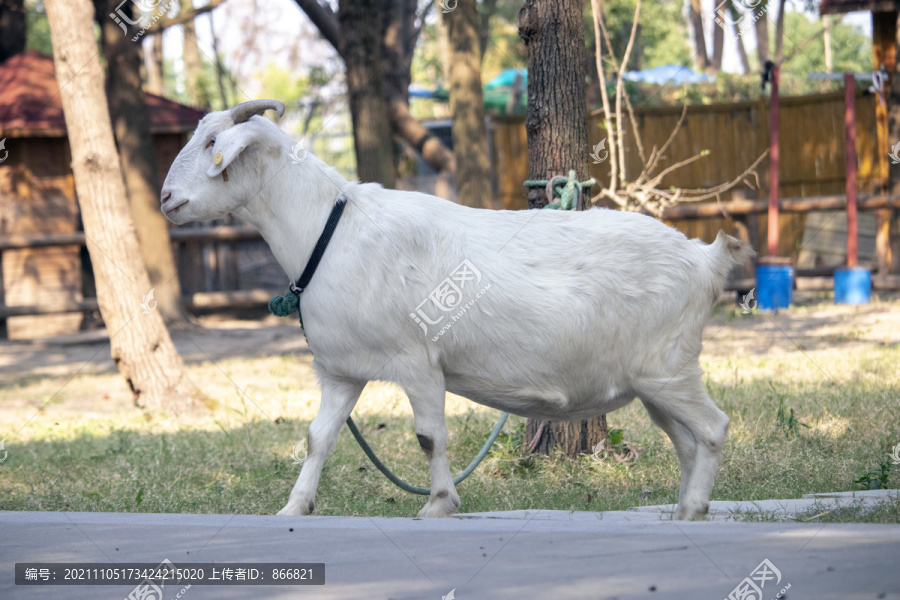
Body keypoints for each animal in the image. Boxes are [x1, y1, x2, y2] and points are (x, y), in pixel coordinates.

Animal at [160, 99, 752, 520]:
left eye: (212, 143)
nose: (166, 198)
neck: (330, 229)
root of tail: (706, 259)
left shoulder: (417, 360)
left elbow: (430, 436)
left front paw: (438, 504)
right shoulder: (340, 372)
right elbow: (317, 437)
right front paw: (294, 507)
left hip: (668, 368)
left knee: (713, 428)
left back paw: (693, 507)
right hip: (654, 383)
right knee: (685, 440)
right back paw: (687, 509)